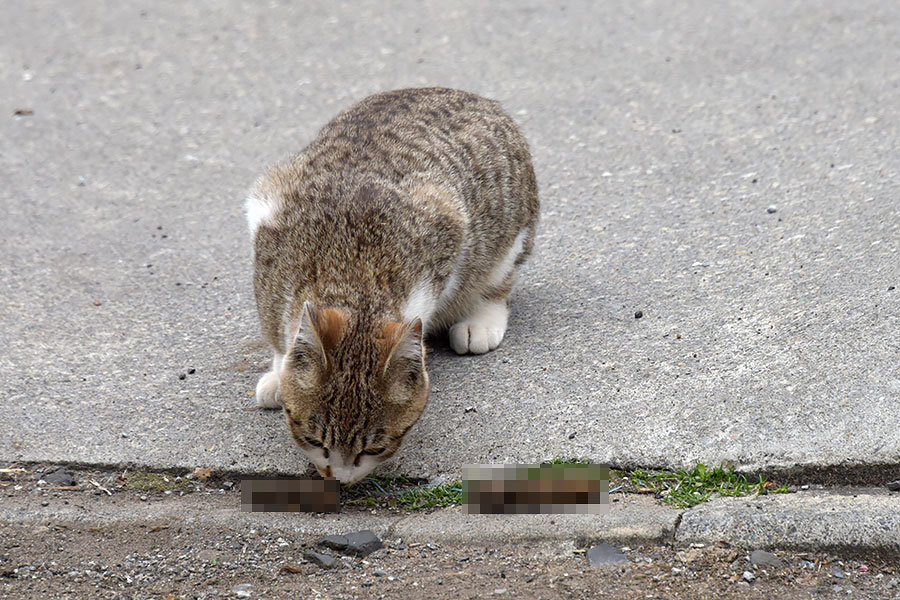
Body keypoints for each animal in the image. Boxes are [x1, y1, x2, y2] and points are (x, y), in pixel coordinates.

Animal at [246, 88, 536, 482]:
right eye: (314, 440)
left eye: (373, 449)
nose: (340, 478)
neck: (353, 278)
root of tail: (474, 97)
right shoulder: (268, 244)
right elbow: (277, 331)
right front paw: (281, 371)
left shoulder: (447, 227)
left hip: (506, 233)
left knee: (497, 280)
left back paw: (481, 319)